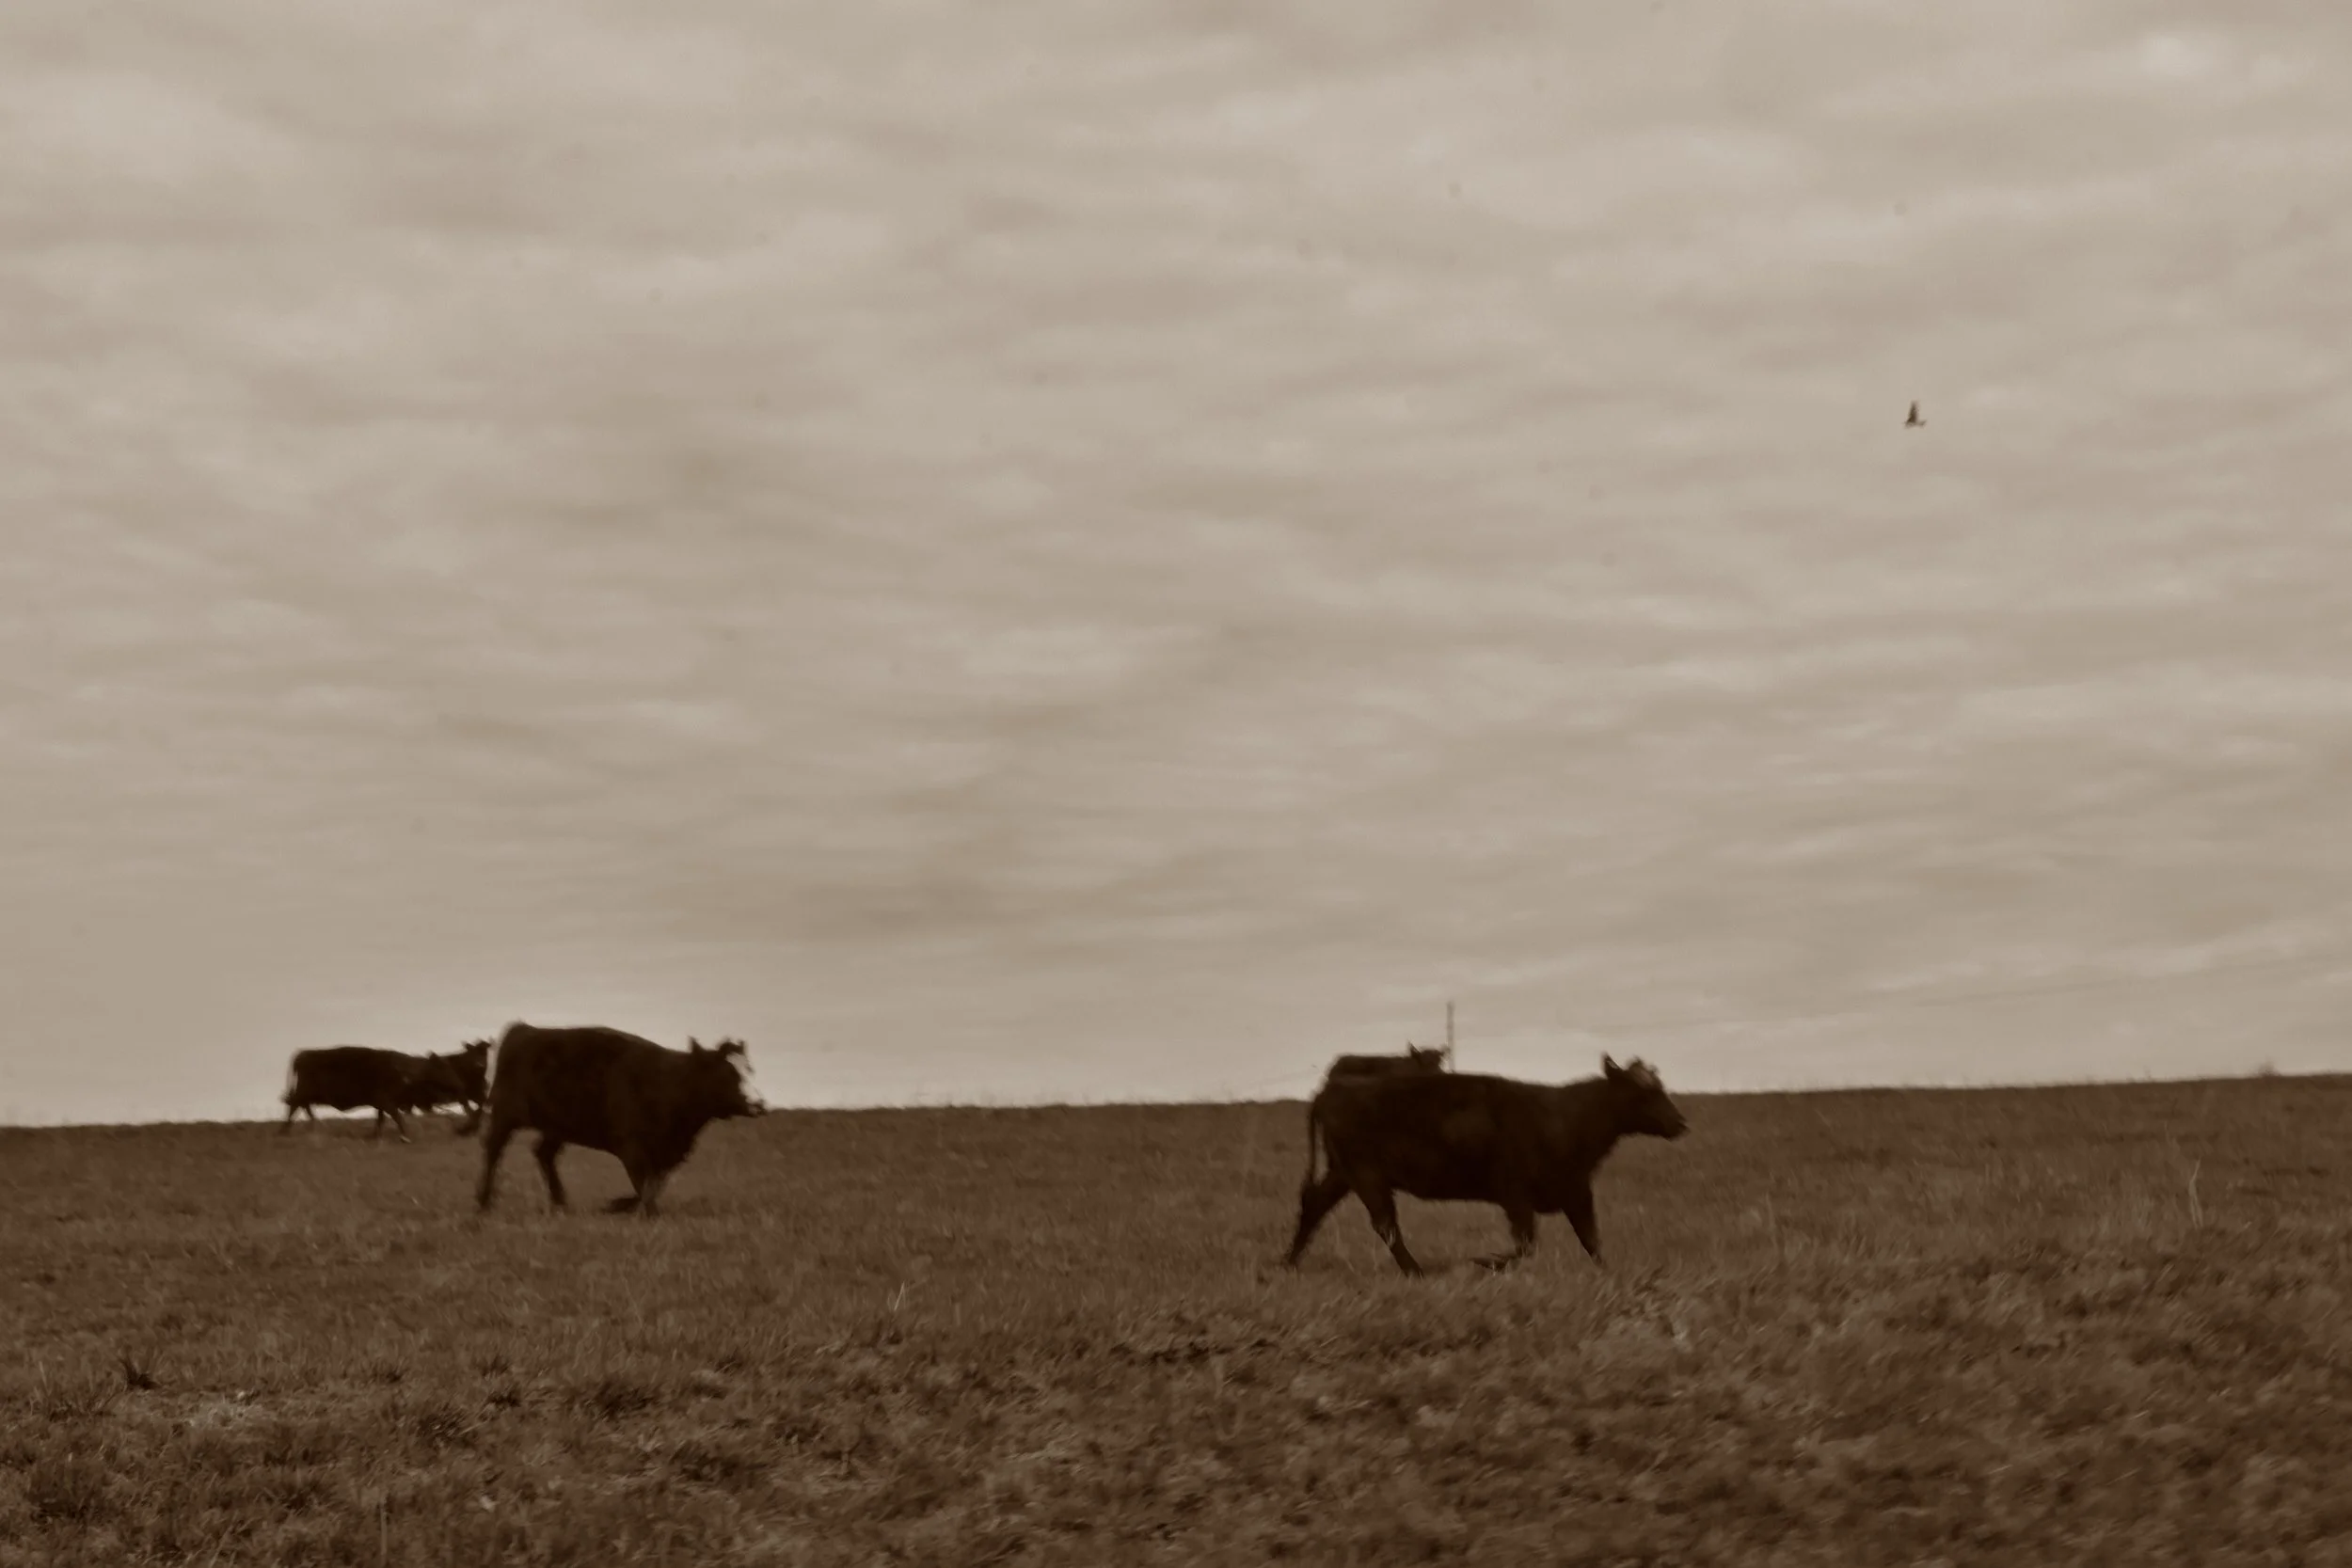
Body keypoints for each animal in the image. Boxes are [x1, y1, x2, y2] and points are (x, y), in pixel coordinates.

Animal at [280, 1046, 463, 1142]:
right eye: (443, 1068)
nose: (459, 1084)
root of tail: (303, 1053)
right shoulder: (386, 1101)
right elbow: (397, 1117)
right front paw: (405, 1136)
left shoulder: (382, 1104)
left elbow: (381, 1119)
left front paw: (376, 1136)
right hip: (303, 1092)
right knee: (294, 1107)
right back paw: (285, 1130)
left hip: (307, 1095)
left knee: (303, 1107)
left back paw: (314, 1126)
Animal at [474, 1023, 765, 1218]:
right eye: (728, 1074)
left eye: (750, 1070)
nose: (759, 1104)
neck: (668, 1083)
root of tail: (524, 1029)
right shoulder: (631, 1146)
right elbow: (644, 1186)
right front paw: (640, 1211)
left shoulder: (666, 1153)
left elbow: (653, 1185)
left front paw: (619, 1205)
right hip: (505, 1115)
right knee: (493, 1150)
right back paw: (484, 1201)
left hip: (557, 1127)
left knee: (544, 1154)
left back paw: (561, 1202)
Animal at [1285, 1054, 1687, 1276]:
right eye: (1644, 1093)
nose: (1681, 1122)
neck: (1563, 1118)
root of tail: (1333, 1090)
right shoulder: (1515, 1194)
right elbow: (1526, 1244)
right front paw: (1483, 1262)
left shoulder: (1575, 1190)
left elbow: (1592, 1241)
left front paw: (1612, 1275)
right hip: (1366, 1175)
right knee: (1385, 1225)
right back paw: (1416, 1272)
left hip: (1343, 1173)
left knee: (1316, 1205)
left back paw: (1289, 1262)